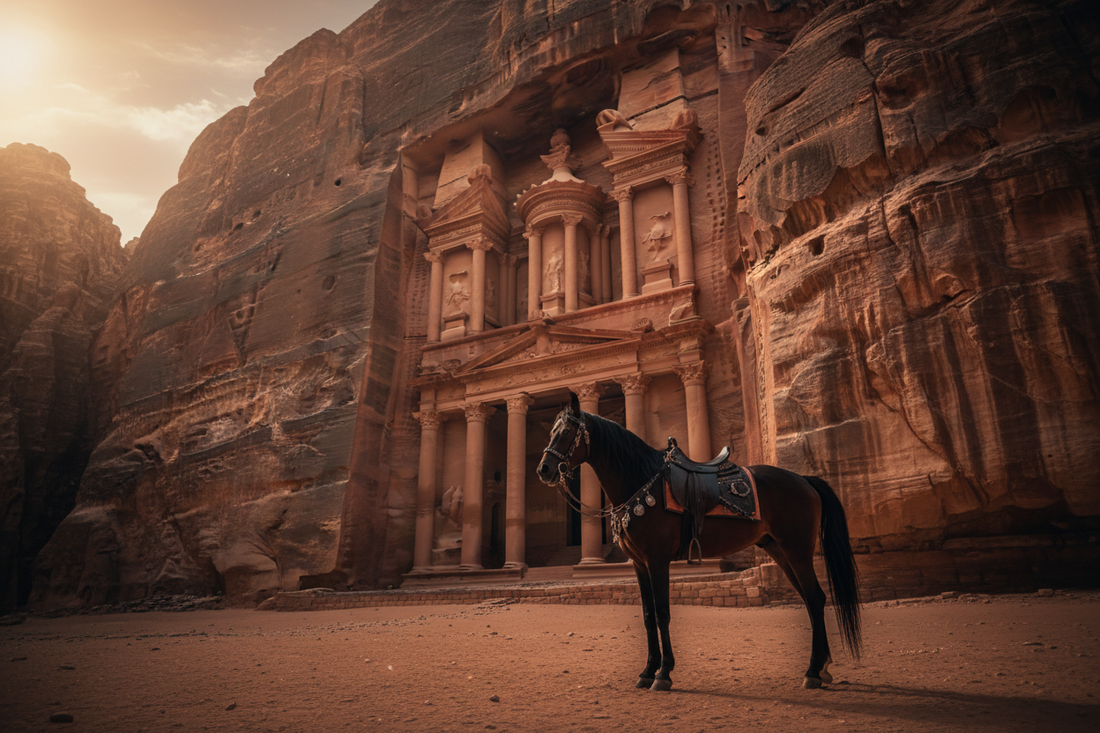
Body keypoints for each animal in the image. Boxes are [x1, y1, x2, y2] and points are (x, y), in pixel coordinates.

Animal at [536, 392, 863, 691]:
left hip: (797, 549)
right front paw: (647, 671)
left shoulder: (657, 560)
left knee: (816, 597)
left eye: (566, 432)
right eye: (551, 431)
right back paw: (822, 667)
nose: (544, 470)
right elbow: (647, 615)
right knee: (810, 599)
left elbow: (663, 613)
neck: (641, 481)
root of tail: (805, 480)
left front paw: (664, 674)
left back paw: (813, 671)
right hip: (779, 550)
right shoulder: (639, 564)